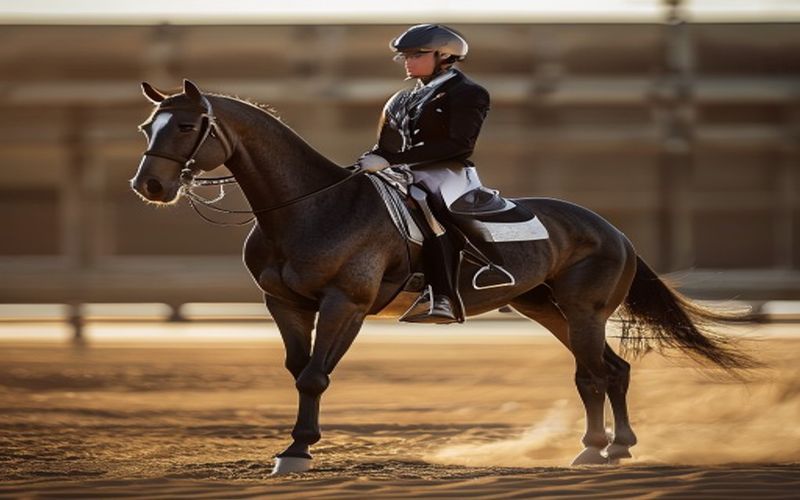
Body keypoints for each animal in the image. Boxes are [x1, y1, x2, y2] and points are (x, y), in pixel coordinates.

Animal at [131, 80, 755, 475]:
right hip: (544, 308)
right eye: (145, 127)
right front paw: (293, 446)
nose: (150, 187)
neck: (309, 207)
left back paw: (592, 449)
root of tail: (612, 229)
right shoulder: (283, 305)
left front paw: (298, 452)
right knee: (613, 370)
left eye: (185, 124)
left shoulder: (344, 304)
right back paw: (619, 448)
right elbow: (297, 370)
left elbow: (313, 376)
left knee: (592, 376)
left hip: (583, 312)